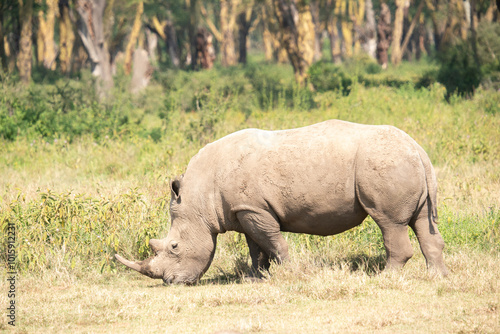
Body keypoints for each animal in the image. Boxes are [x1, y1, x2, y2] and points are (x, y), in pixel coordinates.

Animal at [116, 118, 450, 284]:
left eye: (174, 247)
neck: (199, 197)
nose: (170, 282)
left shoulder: (254, 209)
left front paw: (289, 273)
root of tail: (418, 148)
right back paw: (437, 278)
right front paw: (255, 279)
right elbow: (256, 248)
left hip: (385, 163)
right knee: (423, 222)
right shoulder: (245, 210)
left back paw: (386, 278)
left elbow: (274, 243)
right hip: (407, 163)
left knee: (389, 222)